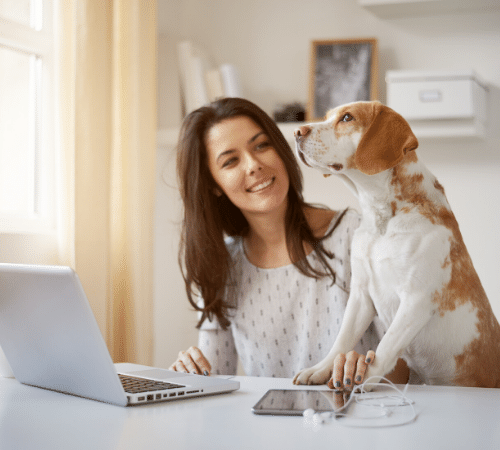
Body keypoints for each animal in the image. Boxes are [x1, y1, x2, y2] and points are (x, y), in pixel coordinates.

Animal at [292, 100, 500, 388]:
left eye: (347, 118)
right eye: (326, 116)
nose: (297, 132)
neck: (382, 218)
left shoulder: (416, 299)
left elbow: (385, 347)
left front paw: (364, 378)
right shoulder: (361, 294)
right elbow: (342, 340)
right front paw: (321, 369)